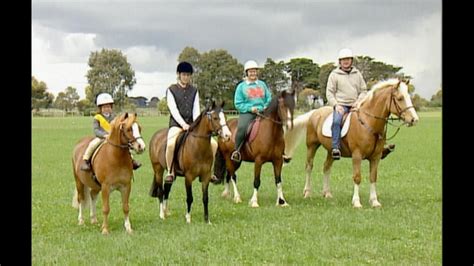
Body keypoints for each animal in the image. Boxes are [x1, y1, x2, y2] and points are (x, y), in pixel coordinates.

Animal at [284, 78, 416, 208]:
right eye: (400, 98)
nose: (414, 119)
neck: (368, 122)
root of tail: (315, 112)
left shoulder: (376, 157)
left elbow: (373, 177)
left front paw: (374, 201)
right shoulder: (357, 155)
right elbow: (357, 177)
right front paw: (356, 202)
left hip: (331, 151)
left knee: (326, 167)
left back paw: (327, 193)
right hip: (312, 146)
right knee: (309, 166)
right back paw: (307, 192)